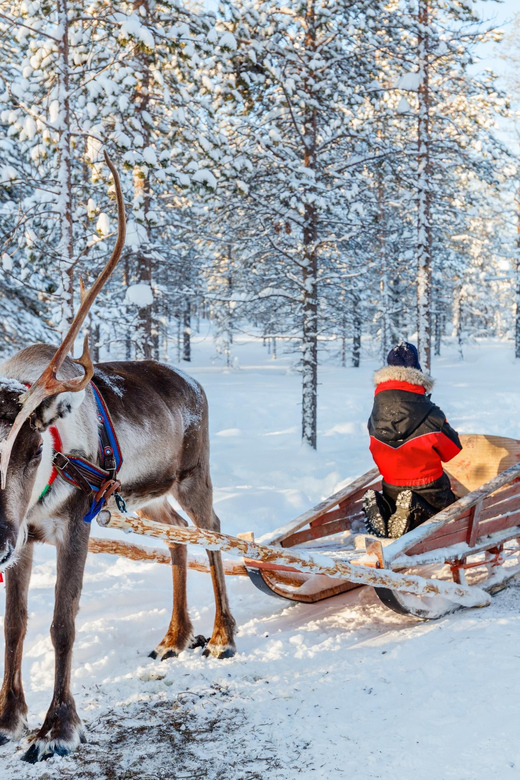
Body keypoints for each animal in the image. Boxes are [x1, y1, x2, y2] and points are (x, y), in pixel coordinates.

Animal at [0, 154, 236, 763]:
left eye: (32, 446)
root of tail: (194, 382)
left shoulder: (75, 523)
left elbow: (62, 623)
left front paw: (57, 728)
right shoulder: (24, 536)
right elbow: (15, 625)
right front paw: (9, 718)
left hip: (193, 476)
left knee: (215, 531)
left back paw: (222, 636)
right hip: (145, 496)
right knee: (177, 539)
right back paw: (175, 637)